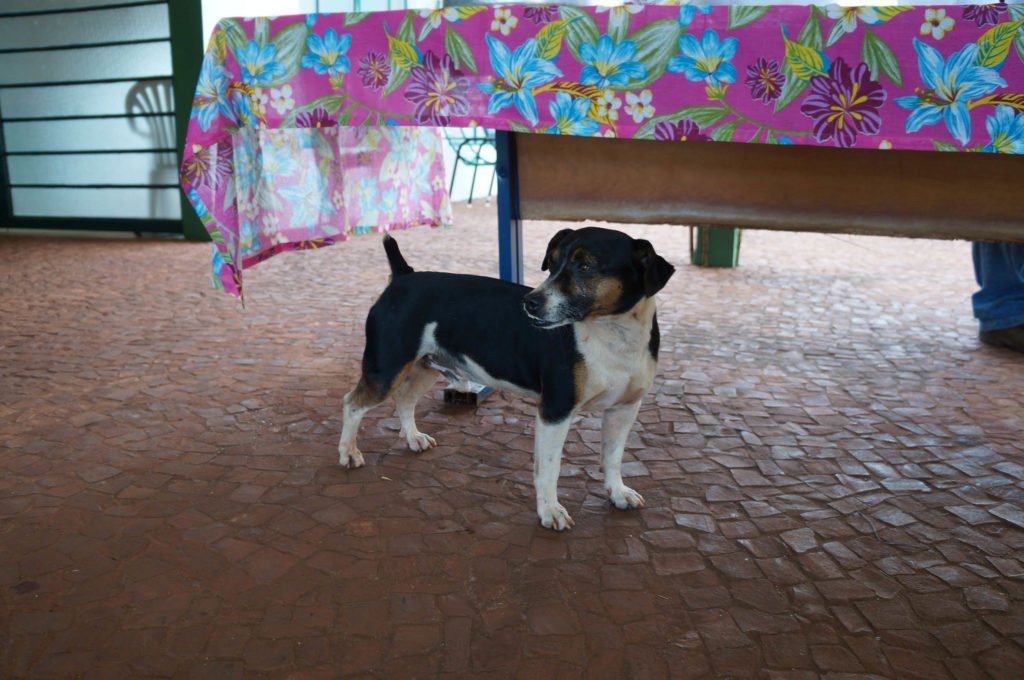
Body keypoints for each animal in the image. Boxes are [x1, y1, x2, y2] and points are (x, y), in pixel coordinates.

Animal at [338, 227, 675, 530]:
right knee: (352, 404)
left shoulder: (624, 409)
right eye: (552, 263)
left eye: (585, 267)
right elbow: (549, 468)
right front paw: (550, 511)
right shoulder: (555, 411)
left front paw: (617, 493)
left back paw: (413, 439)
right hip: (387, 369)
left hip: (424, 367)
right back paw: (349, 453)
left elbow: (613, 456)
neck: (613, 335)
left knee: (404, 400)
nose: (530, 302)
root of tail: (403, 276)